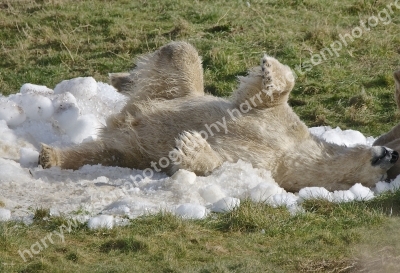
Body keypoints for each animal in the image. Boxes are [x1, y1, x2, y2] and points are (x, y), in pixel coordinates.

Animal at [39, 42, 398, 191]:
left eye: (389, 174)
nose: (390, 154)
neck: (296, 155)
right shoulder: (283, 126)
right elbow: (263, 98)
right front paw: (270, 70)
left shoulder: (271, 168)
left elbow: (222, 165)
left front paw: (190, 147)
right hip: (179, 91)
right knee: (179, 52)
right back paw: (121, 79)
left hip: (129, 150)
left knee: (103, 152)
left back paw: (50, 156)